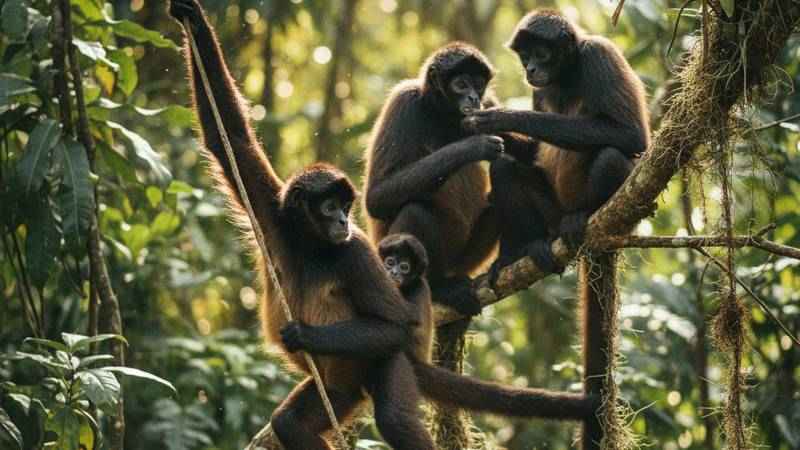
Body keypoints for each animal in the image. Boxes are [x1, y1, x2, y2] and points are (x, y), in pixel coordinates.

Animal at [169, 2, 439, 449]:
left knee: (394, 415)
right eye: (330, 206)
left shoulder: (356, 249)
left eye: (346, 208)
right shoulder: (273, 214)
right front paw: (190, 16)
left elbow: (398, 325)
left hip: (366, 368)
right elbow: (229, 138)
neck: (310, 243)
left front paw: (305, 336)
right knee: (290, 423)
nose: (344, 220)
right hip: (337, 391)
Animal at [363, 43, 505, 317]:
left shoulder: (488, 104)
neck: (441, 115)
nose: (473, 98)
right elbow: (376, 198)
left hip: (465, 258)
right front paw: (472, 147)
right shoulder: (404, 101)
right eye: (461, 84)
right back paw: (440, 288)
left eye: (478, 84)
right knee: (415, 210)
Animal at [463, 9, 650, 275]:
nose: (530, 69)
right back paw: (535, 244)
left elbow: (632, 136)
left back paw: (583, 215)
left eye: (541, 53)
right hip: (552, 213)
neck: (566, 76)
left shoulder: (598, 53)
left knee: (610, 157)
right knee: (503, 168)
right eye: (525, 55)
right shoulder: (539, 88)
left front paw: (503, 117)